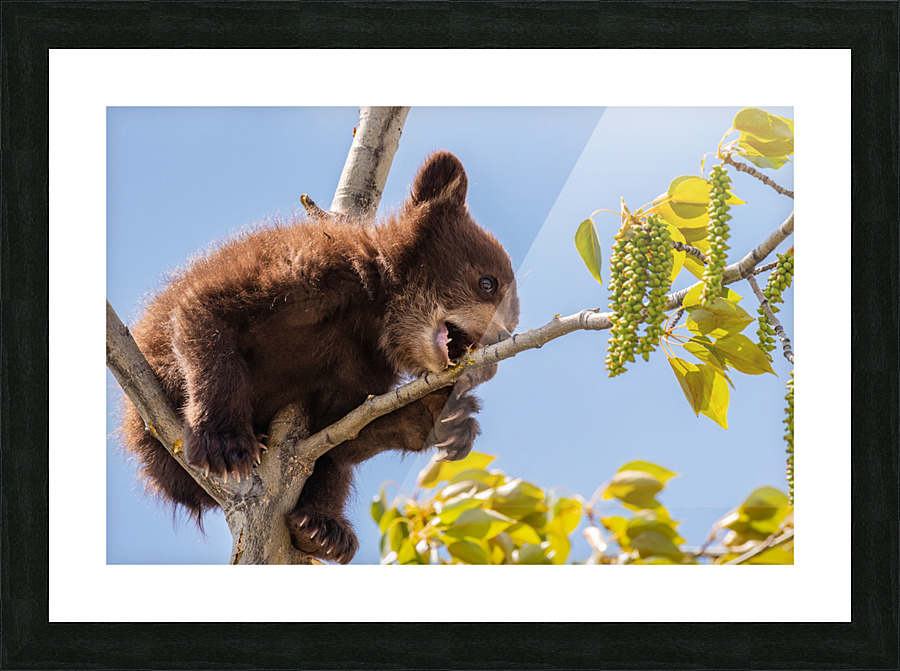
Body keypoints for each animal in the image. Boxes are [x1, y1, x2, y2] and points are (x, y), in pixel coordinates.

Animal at [120, 151, 520, 563]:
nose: (501, 342)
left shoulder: (362, 365)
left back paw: (323, 529)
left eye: (514, 315)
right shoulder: (303, 274)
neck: (373, 315)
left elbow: (339, 433)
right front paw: (224, 443)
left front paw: (439, 417)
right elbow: (204, 312)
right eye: (488, 283)